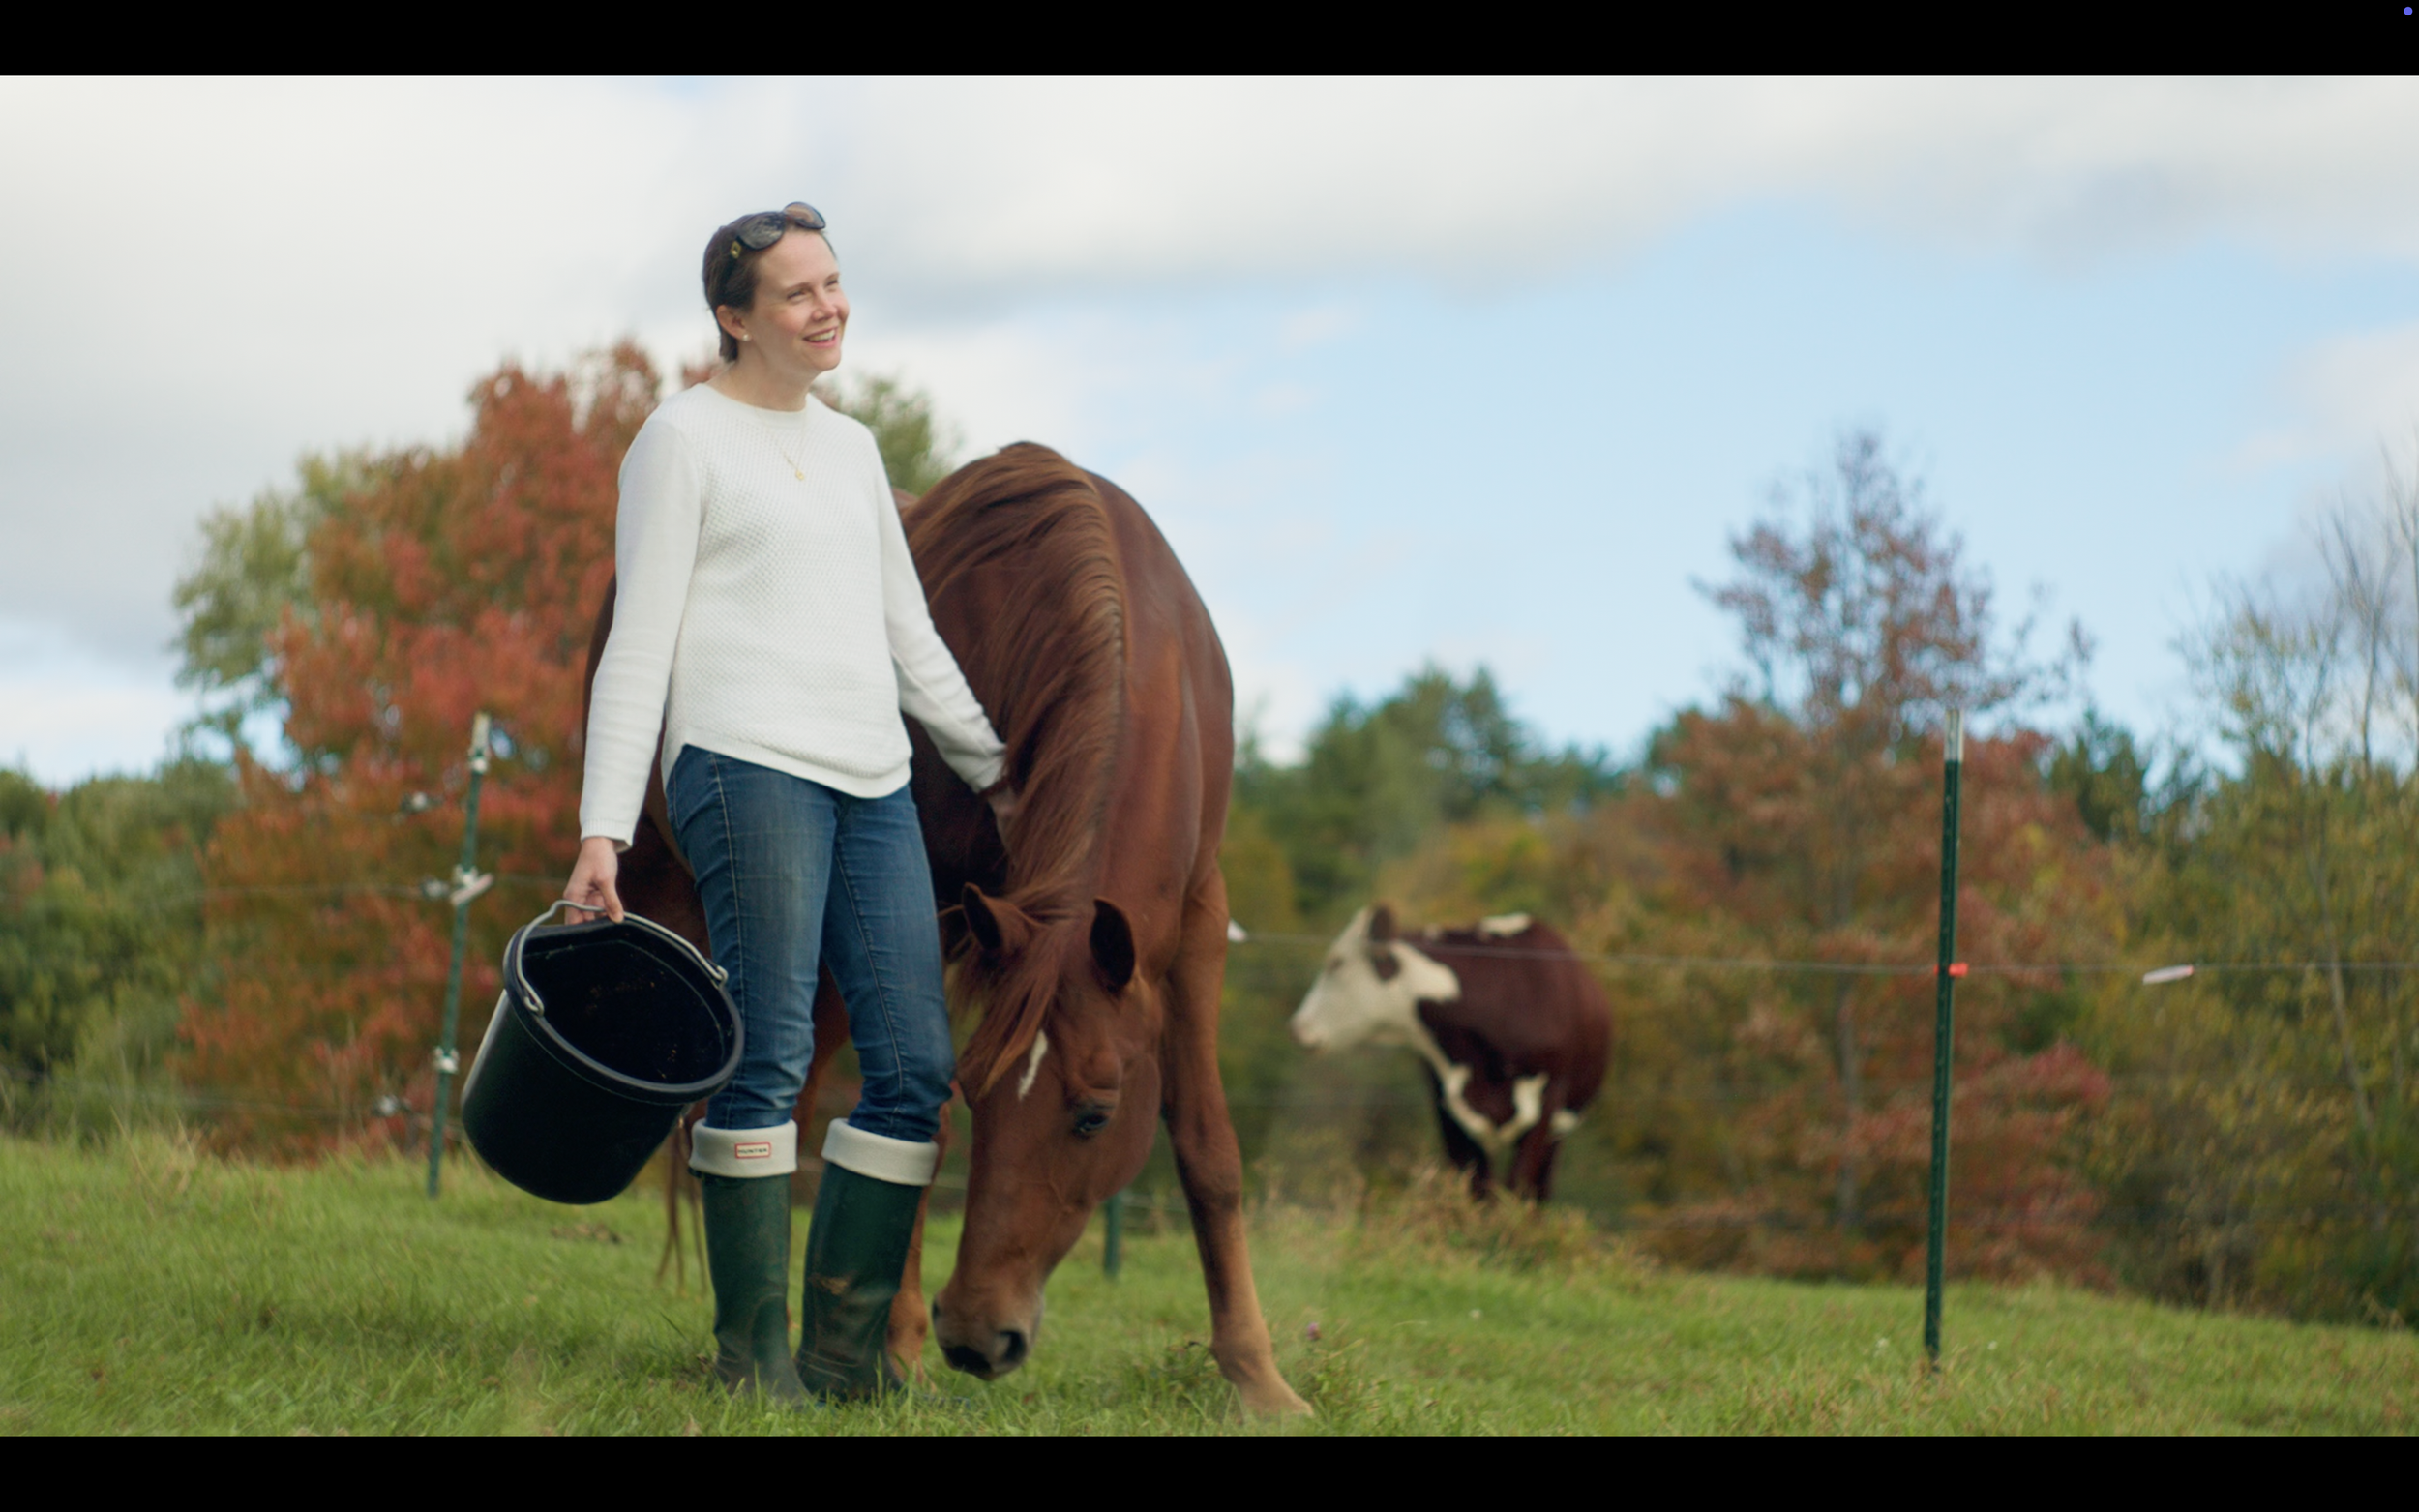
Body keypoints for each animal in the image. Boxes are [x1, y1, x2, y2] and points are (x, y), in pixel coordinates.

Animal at [585, 443, 1305, 1414]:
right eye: (982, 1092)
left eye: (1095, 1114)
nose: (977, 1334)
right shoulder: (922, 894)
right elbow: (920, 1124)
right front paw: (899, 1355)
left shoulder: (1196, 914)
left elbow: (1208, 1148)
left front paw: (1260, 1377)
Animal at [1290, 904, 1611, 1201]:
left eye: (1336, 963)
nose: (1297, 1026)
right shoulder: (1449, 1113)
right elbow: (1477, 1193)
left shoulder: (1547, 1105)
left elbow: (1517, 1189)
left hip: (1561, 1128)